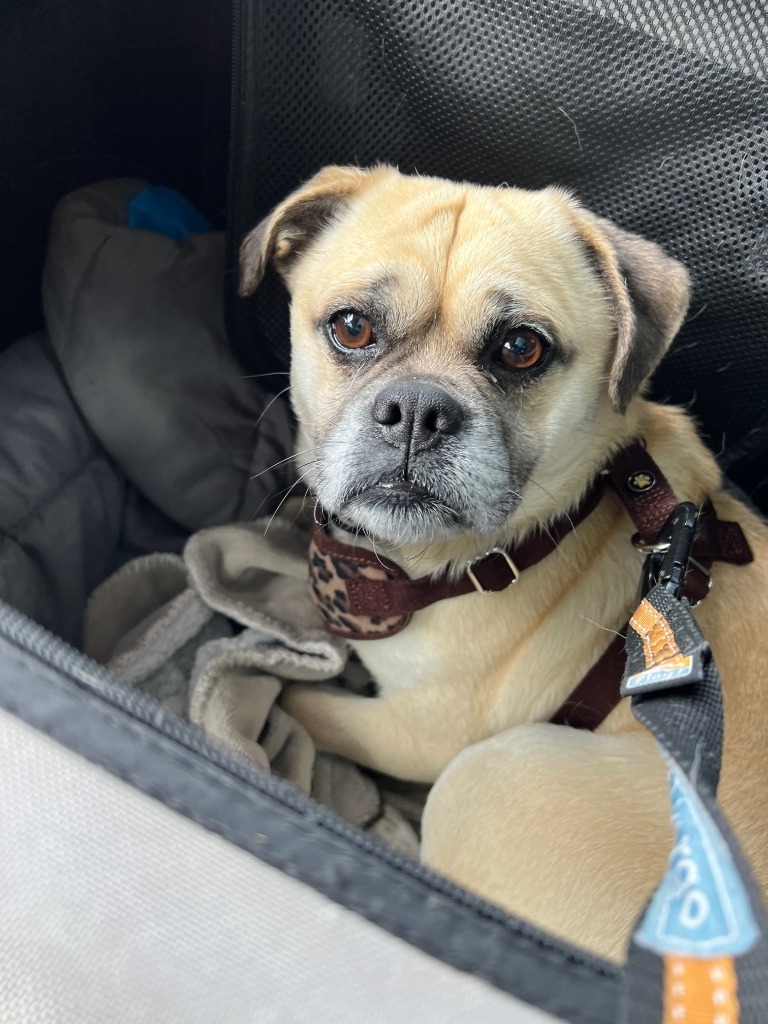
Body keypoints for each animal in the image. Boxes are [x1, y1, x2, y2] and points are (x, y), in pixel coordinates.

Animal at [239, 165, 768, 958]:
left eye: (522, 348)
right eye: (351, 327)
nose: (417, 410)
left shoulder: (414, 734)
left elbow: (302, 699)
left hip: (484, 779)